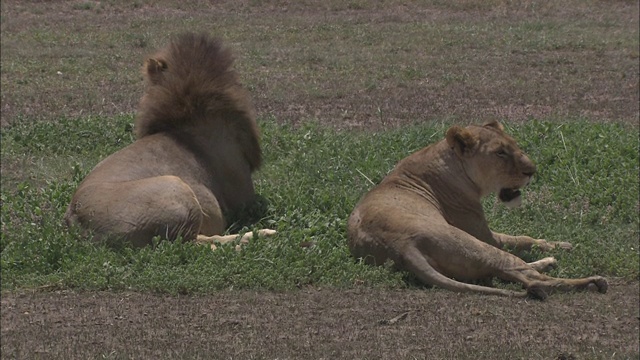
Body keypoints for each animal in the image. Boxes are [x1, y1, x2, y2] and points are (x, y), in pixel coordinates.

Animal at [348, 122, 608, 300]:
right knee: (527, 276)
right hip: (474, 243)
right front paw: (561, 246)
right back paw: (592, 282)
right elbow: (522, 239)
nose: (532, 171)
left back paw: (550, 264)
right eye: (500, 152)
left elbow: (524, 239)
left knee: (509, 273)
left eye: (514, 145)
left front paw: (558, 246)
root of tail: (401, 246)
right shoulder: (485, 235)